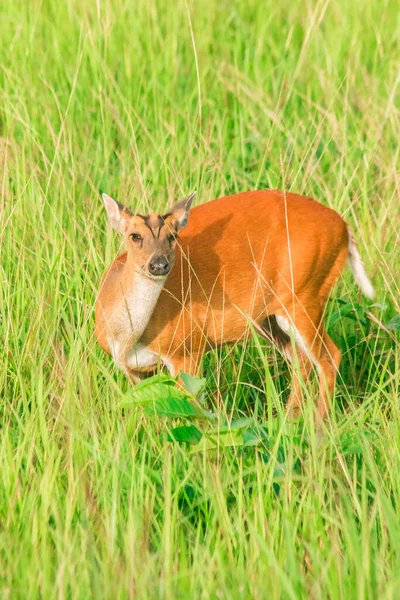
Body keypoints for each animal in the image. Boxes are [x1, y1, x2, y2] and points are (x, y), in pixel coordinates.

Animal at [95, 190, 374, 420]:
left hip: (304, 294)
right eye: (135, 236)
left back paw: (318, 429)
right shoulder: (135, 370)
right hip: (271, 318)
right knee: (302, 359)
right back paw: (288, 421)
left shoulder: (187, 349)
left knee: (330, 356)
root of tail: (344, 227)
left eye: (173, 236)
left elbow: (190, 412)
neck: (126, 337)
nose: (159, 264)